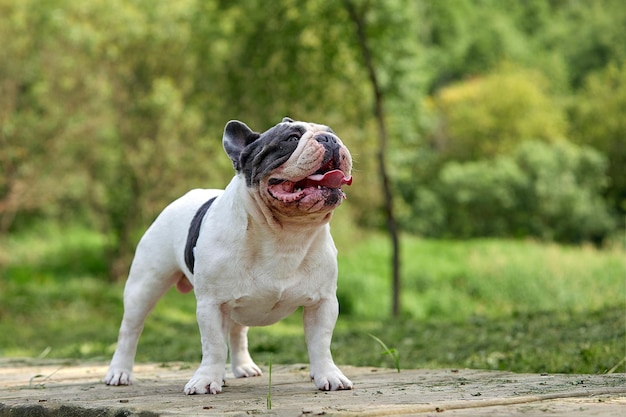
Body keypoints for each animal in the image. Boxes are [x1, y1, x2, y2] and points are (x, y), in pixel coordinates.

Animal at [105, 117, 354, 394]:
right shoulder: (211, 304)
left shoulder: (323, 302)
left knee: (237, 332)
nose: (329, 139)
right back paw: (120, 372)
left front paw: (328, 375)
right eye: (291, 139)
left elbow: (321, 343)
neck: (286, 234)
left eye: (333, 134)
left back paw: (243, 367)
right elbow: (213, 345)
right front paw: (206, 379)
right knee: (130, 331)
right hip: (144, 287)